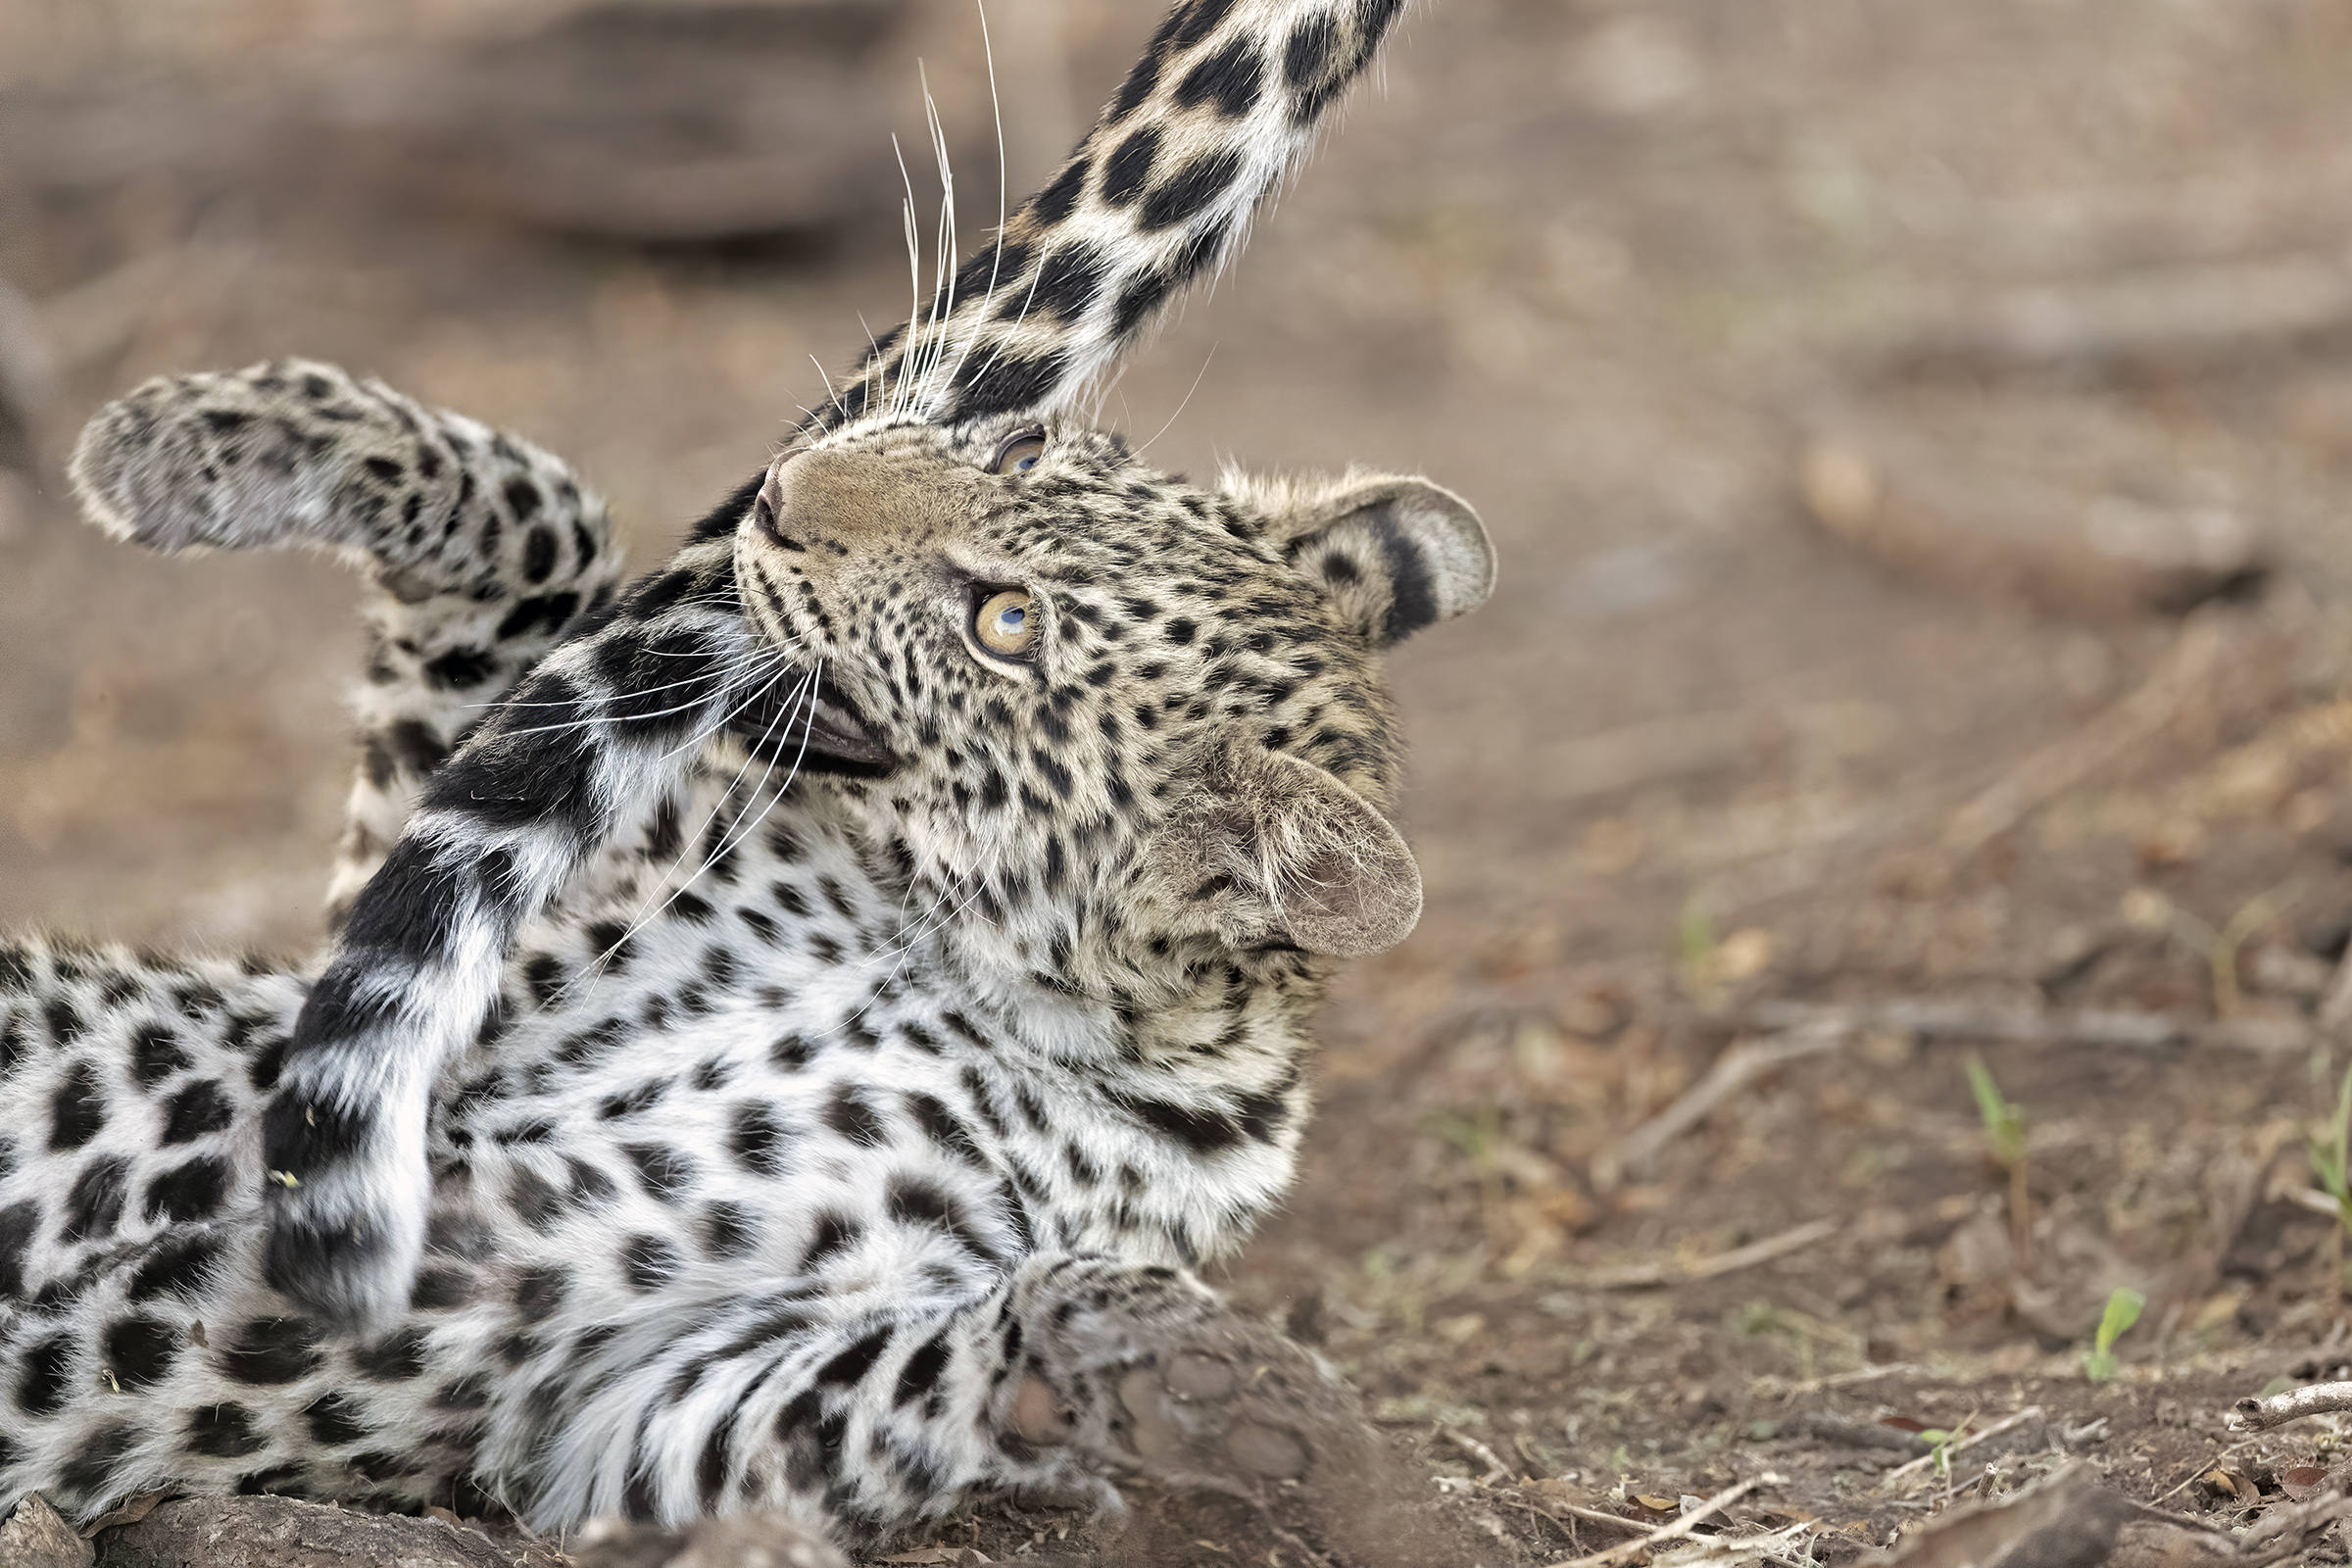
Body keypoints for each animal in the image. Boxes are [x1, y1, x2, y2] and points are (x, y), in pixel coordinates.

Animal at [0, 0, 1496, 1558]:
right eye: (1024, 442)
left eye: (1005, 624)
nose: (779, 499)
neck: (935, 947)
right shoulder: (440, 911)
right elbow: (541, 516)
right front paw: (177, 444)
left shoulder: (638, 1407)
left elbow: (931, 1362)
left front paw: (1212, 1377)